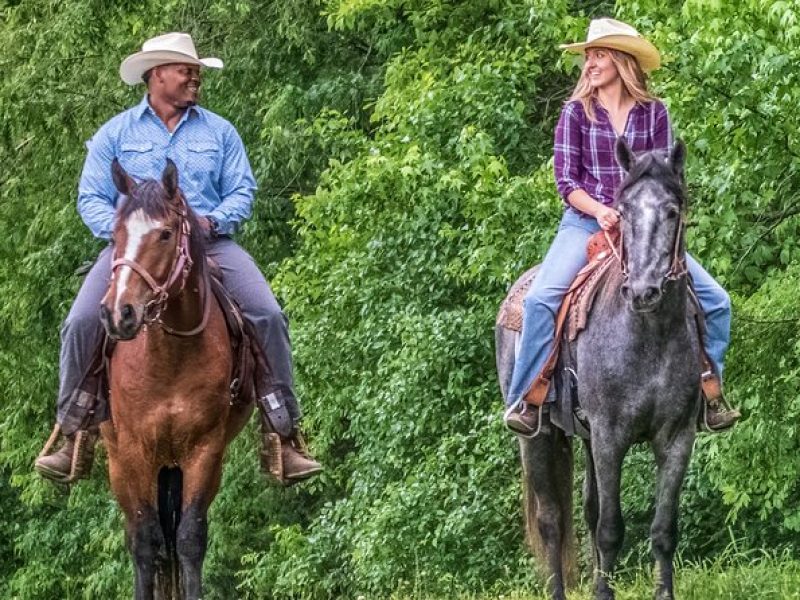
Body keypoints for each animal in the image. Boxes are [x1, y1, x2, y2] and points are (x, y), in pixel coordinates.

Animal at [99, 159, 252, 600]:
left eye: (165, 234)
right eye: (114, 234)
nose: (120, 313)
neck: (169, 358)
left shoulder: (204, 450)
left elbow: (189, 538)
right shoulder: (134, 450)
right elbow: (145, 541)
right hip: (119, 462)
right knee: (138, 535)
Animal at [496, 139, 704, 600]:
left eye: (672, 212)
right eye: (622, 212)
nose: (643, 291)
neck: (648, 334)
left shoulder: (677, 438)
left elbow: (663, 530)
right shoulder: (611, 437)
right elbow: (610, 528)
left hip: (585, 435)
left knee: (588, 509)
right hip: (538, 437)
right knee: (552, 519)